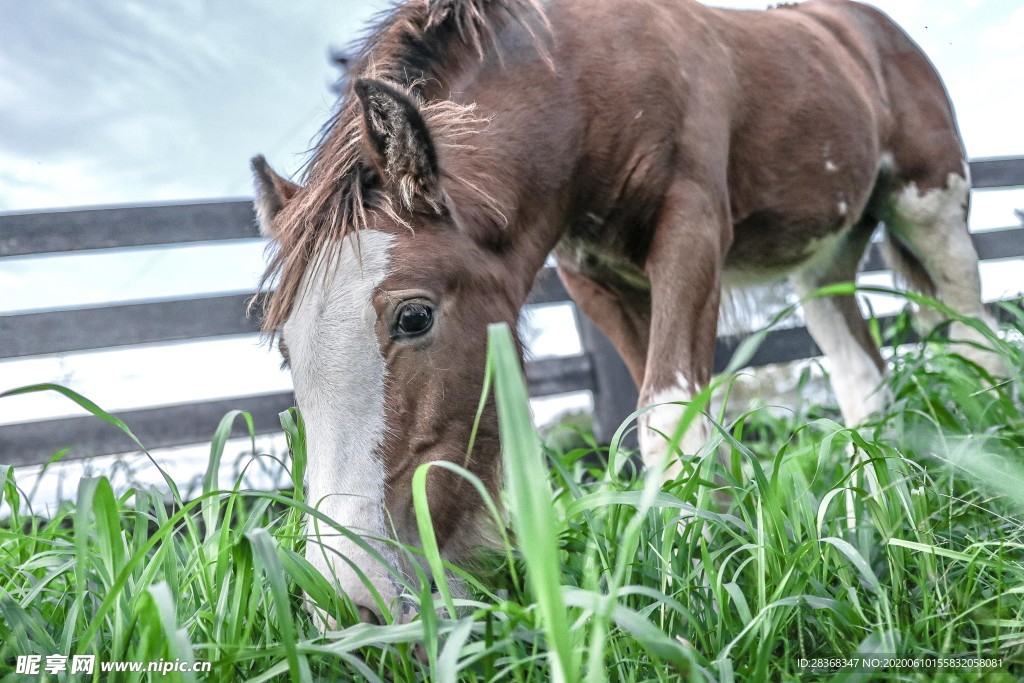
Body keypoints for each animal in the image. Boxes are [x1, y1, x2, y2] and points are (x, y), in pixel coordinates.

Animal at [250, 0, 1002, 623]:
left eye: (413, 317)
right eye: (287, 349)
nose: (347, 600)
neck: (590, 77)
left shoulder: (692, 232)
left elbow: (666, 410)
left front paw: (689, 577)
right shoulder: (595, 279)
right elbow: (679, 415)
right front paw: (711, 542)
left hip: (932, 210)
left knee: (976, 338)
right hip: (824, 262)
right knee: (862, 380)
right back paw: (875, 510)